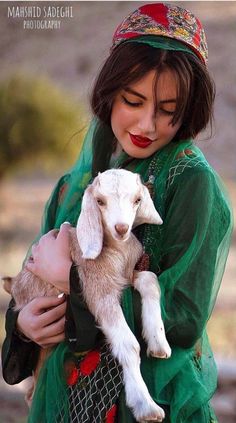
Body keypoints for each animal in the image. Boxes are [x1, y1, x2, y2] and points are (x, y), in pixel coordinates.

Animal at [8, 170, 171, 423]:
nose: (121, 228)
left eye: (137, 200)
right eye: (100, 201)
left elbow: (150, 280)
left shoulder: (125, 277)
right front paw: (146, 406)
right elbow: (129, 345)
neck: (117, 251)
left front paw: (159, 342)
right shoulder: (97, 292)